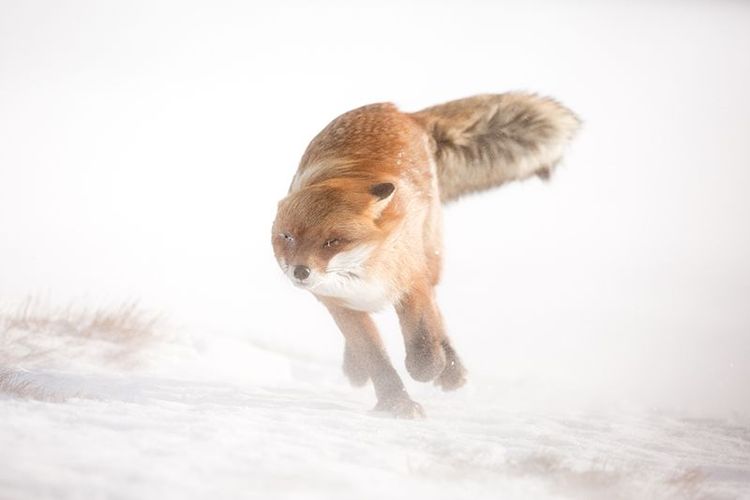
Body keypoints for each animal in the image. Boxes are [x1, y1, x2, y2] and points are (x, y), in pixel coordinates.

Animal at [272, 92, 580, 418]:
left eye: (333, 241)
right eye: (287, 237)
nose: (300, 271)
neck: (365, 271)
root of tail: (399, 111)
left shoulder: (411, 282)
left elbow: (423, 346)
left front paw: (429, 372)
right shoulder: (339, 304)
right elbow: (376, 359)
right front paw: (395, 404)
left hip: (431, 259)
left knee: (437, 314)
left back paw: (452, 372)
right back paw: (357, 368)